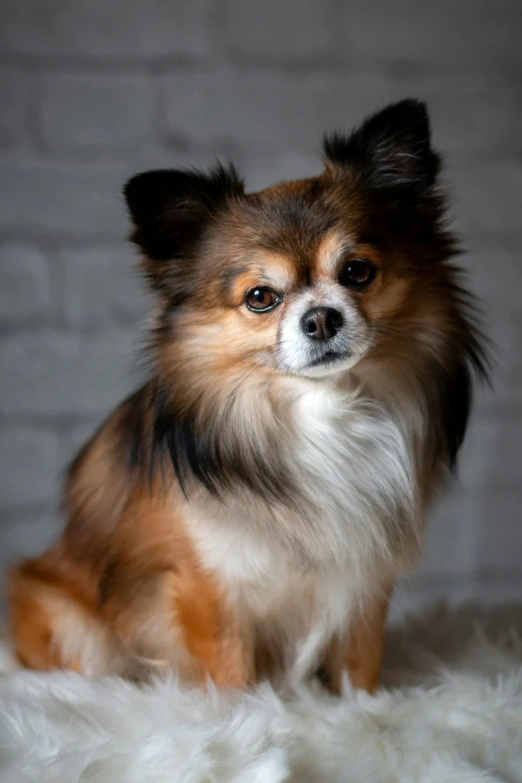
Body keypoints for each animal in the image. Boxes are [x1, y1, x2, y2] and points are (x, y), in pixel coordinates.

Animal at [8, 101, 486, 696]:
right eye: (260, 297)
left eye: (357, 272)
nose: (321, 317)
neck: (323, 411)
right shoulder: (210, 586)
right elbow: (233, 674)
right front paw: (253, 714)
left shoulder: (363, 579)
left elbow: (358, 668)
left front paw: (364, 708)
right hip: (66, 617)